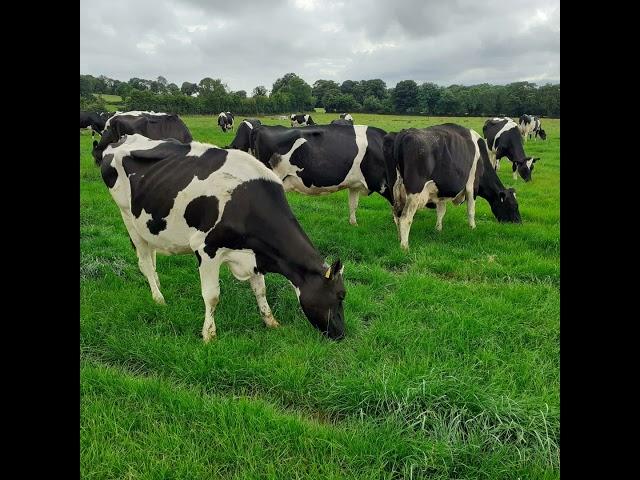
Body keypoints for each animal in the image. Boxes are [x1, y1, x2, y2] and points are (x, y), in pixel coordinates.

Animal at [94, 132, 344, 342]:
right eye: (341, 295)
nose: (341, 334)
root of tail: (121, 140)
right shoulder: (206, 249)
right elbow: (212, 295)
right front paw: (209, 335)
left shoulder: (254, 252)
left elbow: (260, 290)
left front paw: (271, 321)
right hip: (128, 218)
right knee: (144, 261)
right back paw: (158, 298)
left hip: (149, 223)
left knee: (152, 257)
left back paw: (157, 285)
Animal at [382, 124, 524, 249]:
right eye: (514, 205)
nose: (519, 222)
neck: (482, 159)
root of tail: (403, 133)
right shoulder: (472, 185)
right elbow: (471, 210)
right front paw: (473, 228)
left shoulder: (441, 190)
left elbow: (441, 211)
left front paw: (438, 229)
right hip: (414, 192)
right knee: (405, 217)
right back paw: (404, 246)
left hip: (394, 190)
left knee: (396, 215)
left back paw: (400, 238)